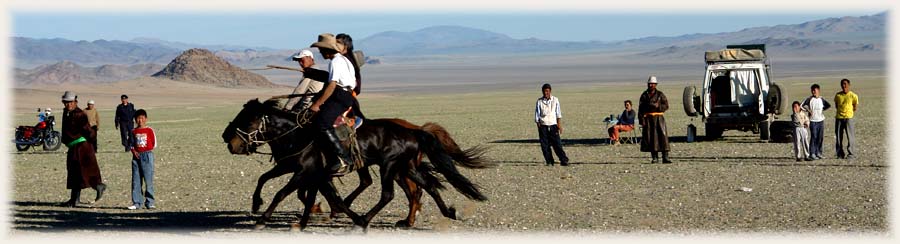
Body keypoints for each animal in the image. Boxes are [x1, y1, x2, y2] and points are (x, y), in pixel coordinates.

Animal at [225, 98, 492, 230]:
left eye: (249, 121)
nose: (230, 143)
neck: (297, 136)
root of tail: (414, 131)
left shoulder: (304, 172)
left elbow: (283, 193)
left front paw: (263, 220)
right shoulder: (298, 170)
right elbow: (267, 180)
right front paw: (260, 205)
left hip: (390, 166)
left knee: (390, 194)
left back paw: (367, 220)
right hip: (405, 167)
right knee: (427, 186)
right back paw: (442, 214)